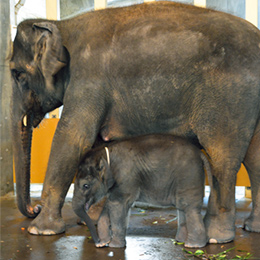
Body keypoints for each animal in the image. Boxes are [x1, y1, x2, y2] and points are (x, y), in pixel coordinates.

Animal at [72, 135, 210, 249]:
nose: (98, 243)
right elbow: (110, 205)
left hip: (189, 177)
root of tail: (200, 153)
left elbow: (117, 206)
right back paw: (180, 241)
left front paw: (114, 246)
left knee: (189, 208)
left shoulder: (125, 178)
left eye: (85, 186)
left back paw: (193, 245)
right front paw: (105, 242)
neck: (106, 153)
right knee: (182, 207)